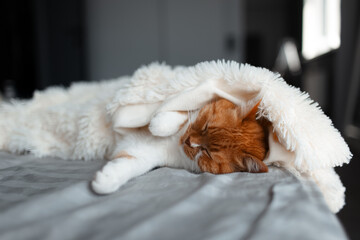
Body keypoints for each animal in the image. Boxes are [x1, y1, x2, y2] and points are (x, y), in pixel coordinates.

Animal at [91, 98, 268, 195]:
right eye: (205, 126)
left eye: (207, 152)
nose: (188, 141)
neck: (174, 144)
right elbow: (181, 114)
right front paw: (159, 124)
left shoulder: (146, 156)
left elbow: (131, 164)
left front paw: (107, 179)